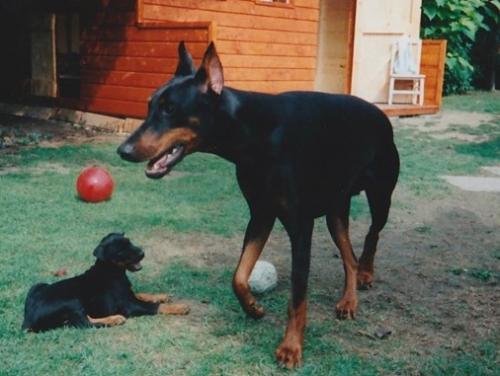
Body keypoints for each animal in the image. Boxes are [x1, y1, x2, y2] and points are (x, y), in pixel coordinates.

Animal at [21, 234, 190, 334]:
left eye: (130, 242)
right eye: (121, 250)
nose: (143, 253)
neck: (112, 271)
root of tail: (28, 319)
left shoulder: (129, 294)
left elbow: (142, 294)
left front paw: (162, 296)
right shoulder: (129, 305)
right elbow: (155, 307)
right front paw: (179, 307)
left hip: (38, 285)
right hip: (72, 301)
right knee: (84, 323)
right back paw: (114, 319)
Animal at [116, 41, 398, 368]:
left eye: (170, 109)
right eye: (150, 105)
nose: (123, 150)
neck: (255, 134)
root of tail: (381, 114)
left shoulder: (300, 226)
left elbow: (297, 295)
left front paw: (291, 347)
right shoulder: (261, 214)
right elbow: (238, 276)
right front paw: (252, 307)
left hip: (380, 197)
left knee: (372, 234)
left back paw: (365, 274)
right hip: (336, 209)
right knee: (348, 256)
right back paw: (349, 299)